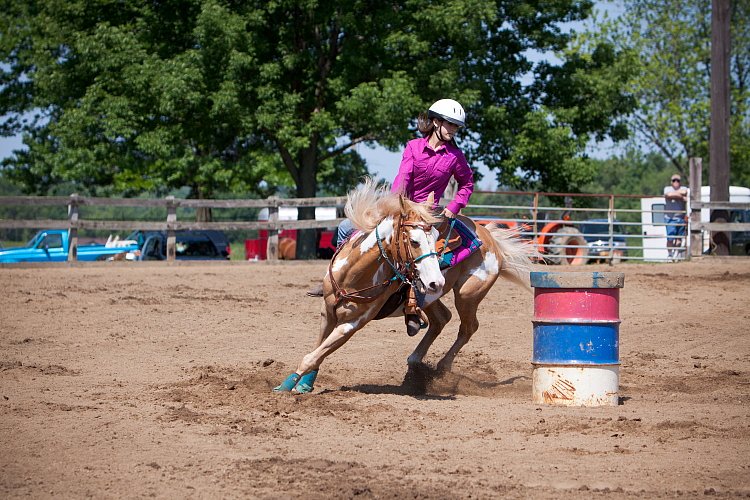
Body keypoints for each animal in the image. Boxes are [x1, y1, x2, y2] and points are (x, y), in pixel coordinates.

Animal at [274, 180, 536, 394]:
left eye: (436, 240)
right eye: (414, 240)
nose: (438, 281)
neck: (355, 274)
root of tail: (491, 239)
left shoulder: (353, 324)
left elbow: (314, 355)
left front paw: (285, 387)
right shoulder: (327, 311)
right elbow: (318, 349)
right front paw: (303, 384)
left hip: (467, 295)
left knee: (468, 327)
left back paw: (441, 367)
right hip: (430, 296)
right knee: (442, 319)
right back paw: (415, 361)